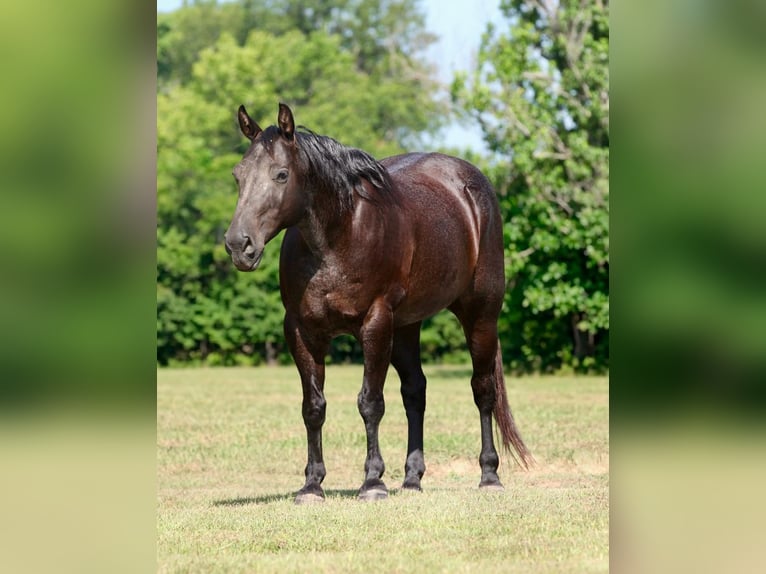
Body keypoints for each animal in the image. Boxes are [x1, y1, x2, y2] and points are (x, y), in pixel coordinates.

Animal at [224, 102, 533, 503]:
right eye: (238, 175)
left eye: (281, 174)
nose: (238, 245)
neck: (340, 236)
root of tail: (472, 184)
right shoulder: (301, 331)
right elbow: (314, 407)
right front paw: (312, 485)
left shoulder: (374, 323)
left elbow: (370, 402)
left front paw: (372, 482)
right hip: (406, 327)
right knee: (415, 391)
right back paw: (413, 478)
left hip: (480, 314)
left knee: (483, 390)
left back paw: (489, 475)